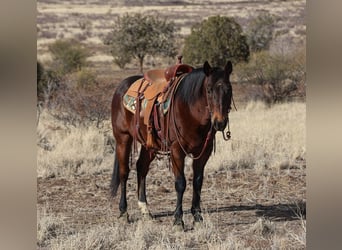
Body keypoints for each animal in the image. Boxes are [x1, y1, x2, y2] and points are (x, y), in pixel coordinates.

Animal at [109, 60, 232, 229]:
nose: (220, 123)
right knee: (124, 172)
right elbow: (180, 183)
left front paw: (197, 217)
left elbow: (198, 182)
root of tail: (121, 87)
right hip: (123, 138)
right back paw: (123, 212)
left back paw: (145, 210)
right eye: (209, 89)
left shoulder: (203, 152)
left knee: (141, 168)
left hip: (149, 145)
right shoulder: (176, 150)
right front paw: (178, 220)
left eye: (229, 89)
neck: (189, 108)